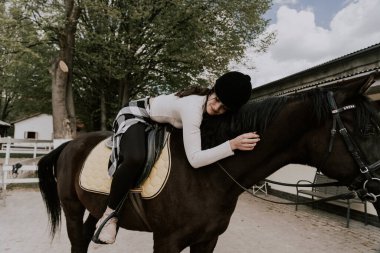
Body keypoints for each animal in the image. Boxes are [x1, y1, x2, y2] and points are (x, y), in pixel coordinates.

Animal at [37, 73, 380, 253]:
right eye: (368, 130)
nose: (378, 185)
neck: (207, 176)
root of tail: (69, 144)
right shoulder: (167, 241)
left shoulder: (207, 240)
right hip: (71, 206)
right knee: (77, 239)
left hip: (92, 207)